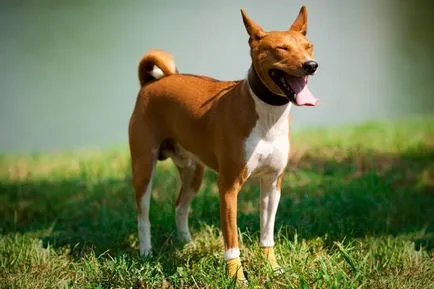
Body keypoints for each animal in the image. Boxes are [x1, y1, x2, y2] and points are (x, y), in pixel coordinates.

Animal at [127, 5, 318, 282]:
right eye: (281, 48)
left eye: (308, 46)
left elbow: (267, 235)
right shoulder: (228, 187)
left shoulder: (272, 183)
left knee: (180, 207)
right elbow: (231, 242)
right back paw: (146, 252)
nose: (311, 65)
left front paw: (272, 268)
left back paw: (187, 244)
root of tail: (152, 82)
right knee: (143, 216)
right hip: (143, 168)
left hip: (193, 173)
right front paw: (237, 278)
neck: (268, 117)